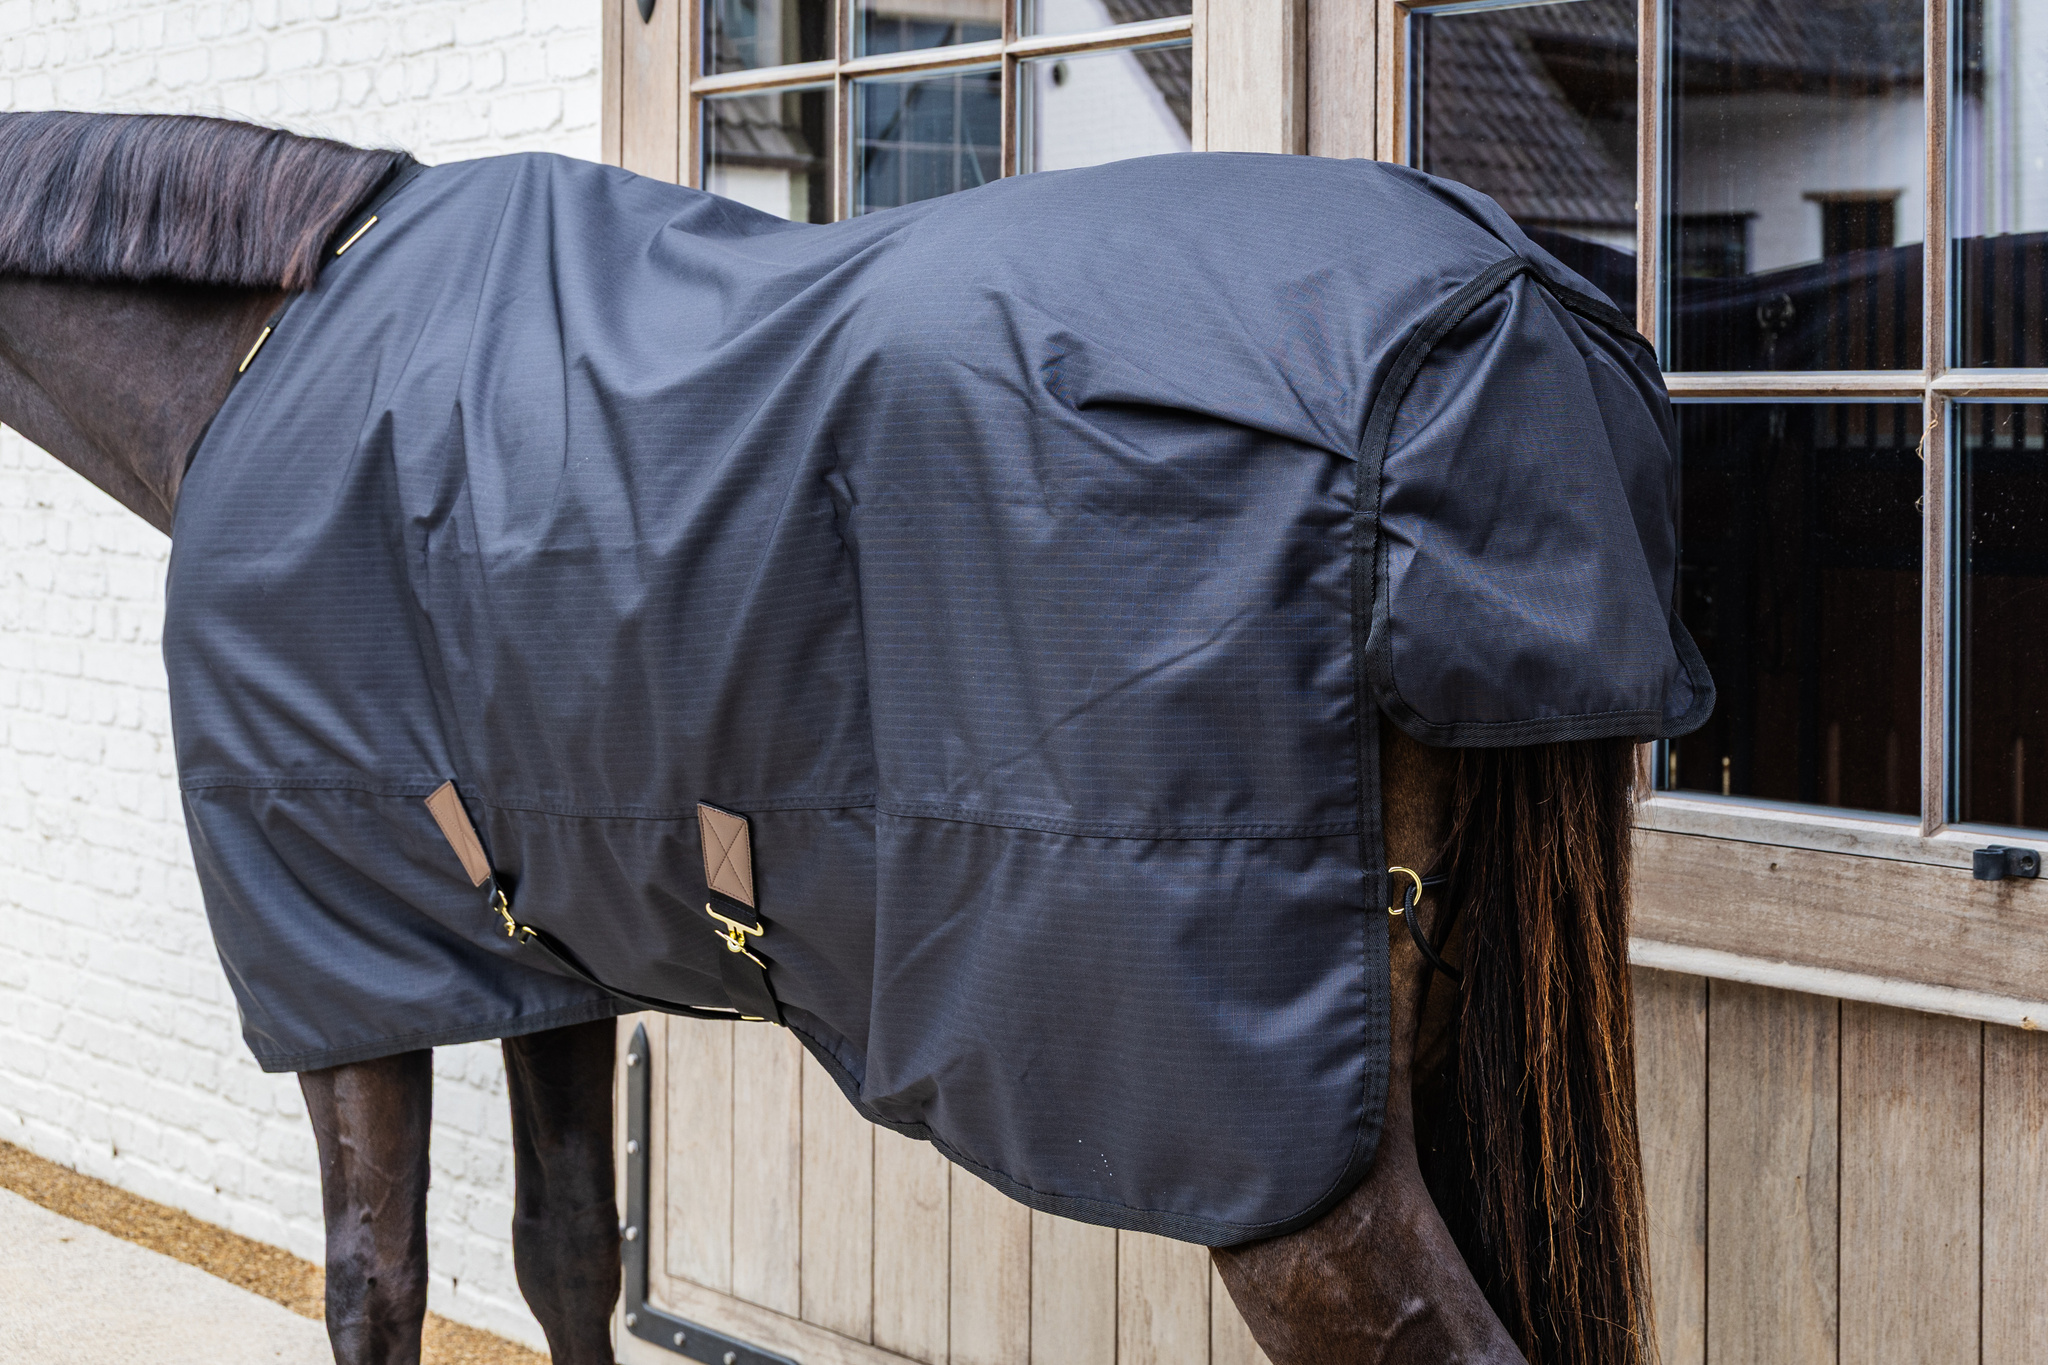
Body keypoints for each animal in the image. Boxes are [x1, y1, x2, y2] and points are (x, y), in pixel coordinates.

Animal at [0, 111, 1660, 1365]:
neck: (264, 352)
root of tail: (1498, 309)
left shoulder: (339, 963)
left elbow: (373, 1284)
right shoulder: (546, 951)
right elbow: (567, 1254)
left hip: (1281, 1161)